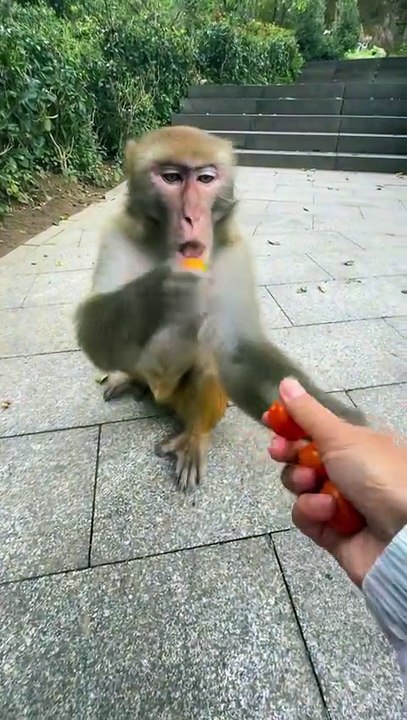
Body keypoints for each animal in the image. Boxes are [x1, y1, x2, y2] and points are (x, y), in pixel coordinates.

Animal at [75, 125, 366, 491]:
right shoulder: (117, 233)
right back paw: (130, 379)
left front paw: (336, 419)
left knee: (208, 363)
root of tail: (159, 394)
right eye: (171, 177)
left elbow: (240, 349)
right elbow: (90, 330)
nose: (192, 217)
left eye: (205, 178)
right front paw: (160, 289)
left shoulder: (234, 252)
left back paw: (194, 437)